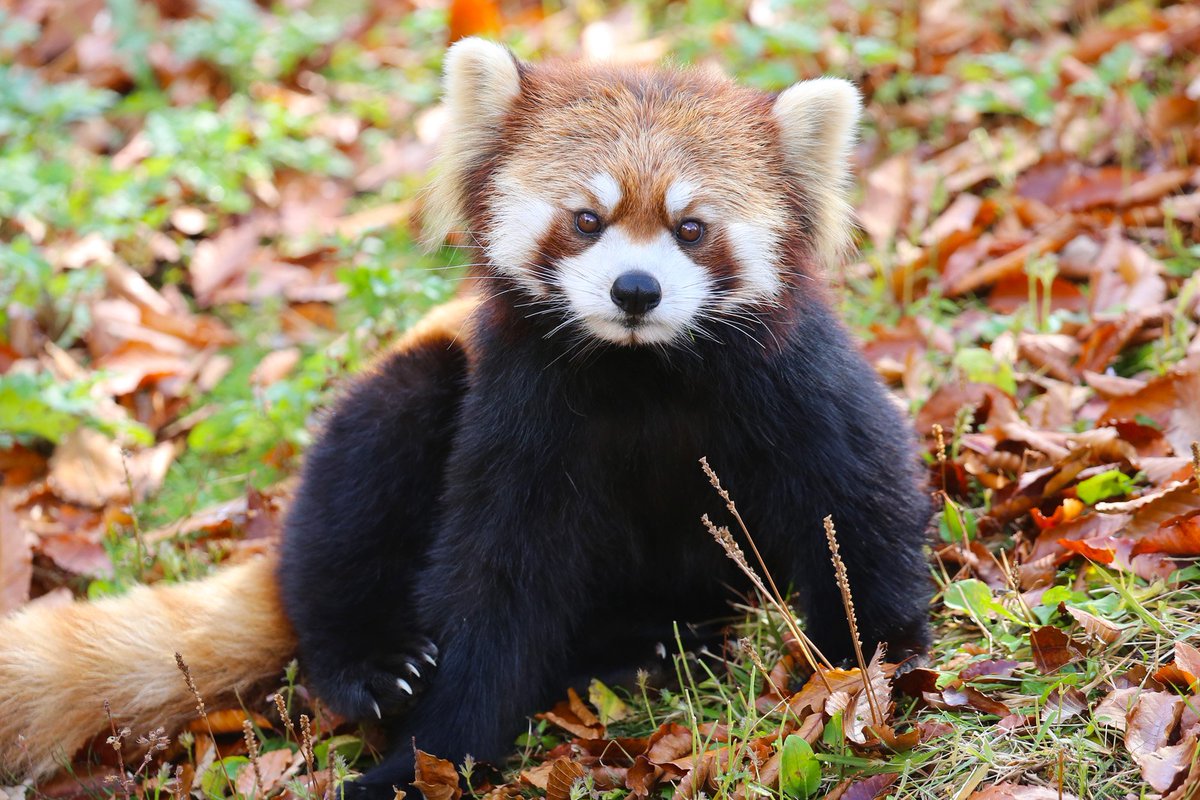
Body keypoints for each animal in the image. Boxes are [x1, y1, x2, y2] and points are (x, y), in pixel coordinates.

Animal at [0, 38, 926, 800]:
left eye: (691, 228)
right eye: (585, 220)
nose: (635, 290)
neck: (641, 373)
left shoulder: (789, 378)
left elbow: (856, 502)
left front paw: (872, 670)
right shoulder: (519, 408)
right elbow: (495, 586)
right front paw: (424, 764)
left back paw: (650, 644)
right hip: (413, 389)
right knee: (353, 499)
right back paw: (374, 664)